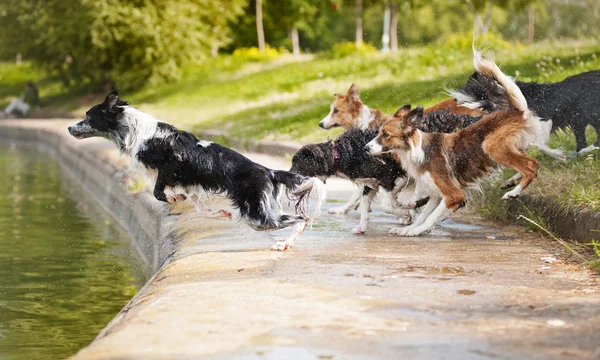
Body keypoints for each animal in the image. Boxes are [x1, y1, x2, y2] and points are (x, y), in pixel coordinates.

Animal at [366, 51, 544, 236]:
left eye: (386, 135)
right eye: (379, 133)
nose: (365, 148)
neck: (417, 149)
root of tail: (516, 111)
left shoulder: (453, 195)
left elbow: (429, 217)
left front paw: (416, 231)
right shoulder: (436, 194)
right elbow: (423, 215)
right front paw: (410, 228)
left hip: (491, 145)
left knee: (530, 167)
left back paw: (513, 192)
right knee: (533, 162)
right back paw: (511, 182)